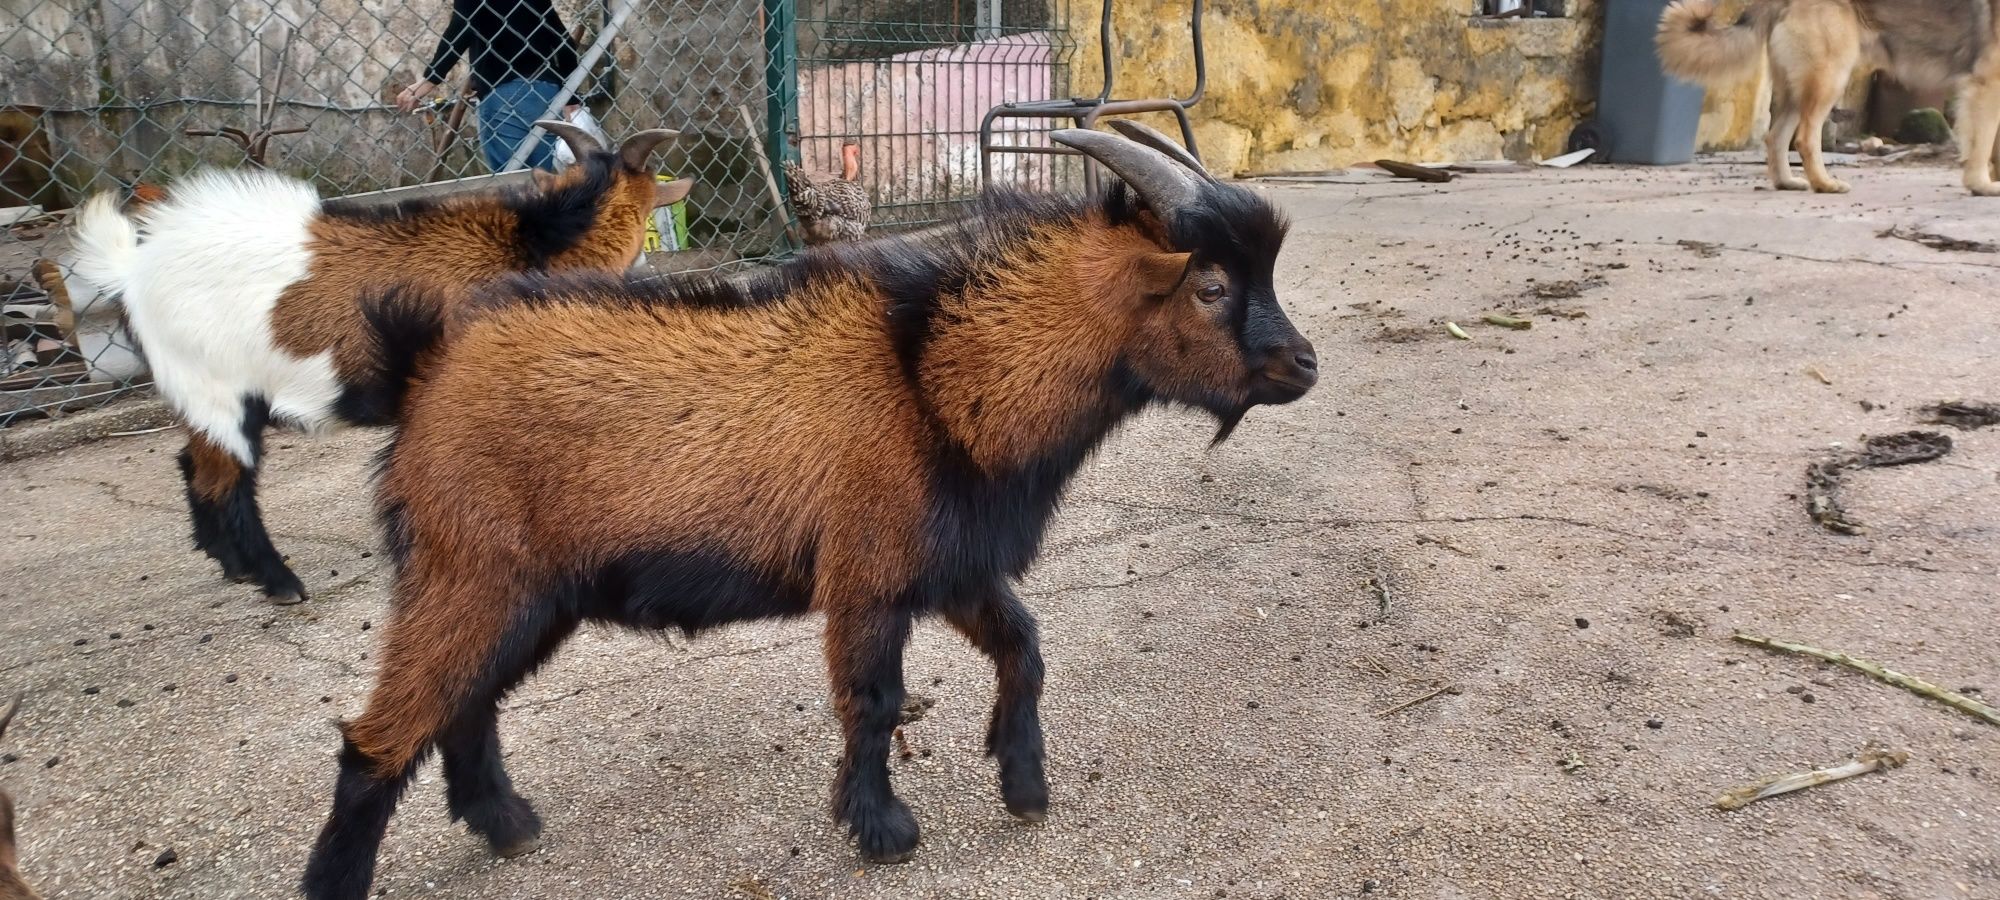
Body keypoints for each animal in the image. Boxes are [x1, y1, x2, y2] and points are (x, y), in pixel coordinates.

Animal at [68, 121, 696, 604]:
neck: (534, 243)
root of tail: (131, 269)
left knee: (194, 465)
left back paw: (233, 565)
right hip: (216, 388)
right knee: (228, 481)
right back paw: (279, 581)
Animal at [304, 121, 1320, 900]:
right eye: (1212, 285)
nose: (1304, 365)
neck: (934, 379)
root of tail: (424, 373)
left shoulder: (947, 563)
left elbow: (1025, 648)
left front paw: (1024, 783)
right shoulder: (867, 572)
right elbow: (873, 701)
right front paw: (884, 830)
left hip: (530, 592)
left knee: (466, 704)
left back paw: (507, 824)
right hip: (470, 566)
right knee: (383, 735)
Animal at [1656, 0, 2000, 196]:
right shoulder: (1987, 88)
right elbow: (1982, 145)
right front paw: (1981, 185)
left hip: (1799, 88)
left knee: (1776, 137)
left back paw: (1787, 182)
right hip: (1829, 78)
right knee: (1805, 138)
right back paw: (1824, 184)